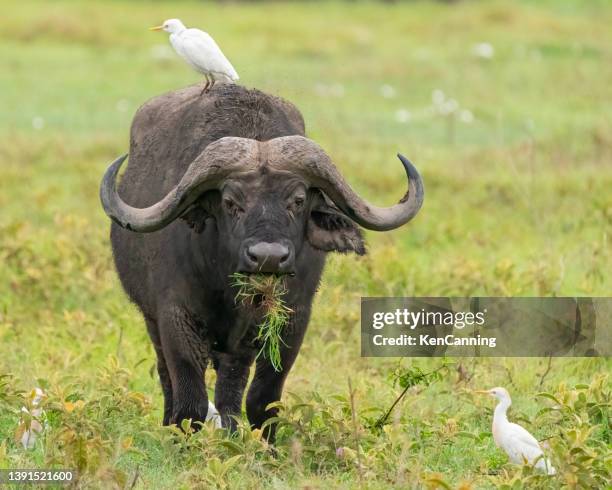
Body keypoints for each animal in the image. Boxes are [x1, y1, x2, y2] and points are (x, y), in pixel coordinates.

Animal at [100, 84, 424, 440]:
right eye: (231, 202)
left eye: (298, 200)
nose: (268, 256)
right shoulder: (175, 318)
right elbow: (190, 401)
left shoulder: (293, 321)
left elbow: (263, 398)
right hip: (152, 321)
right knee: (168, 378)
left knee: (230, 386)